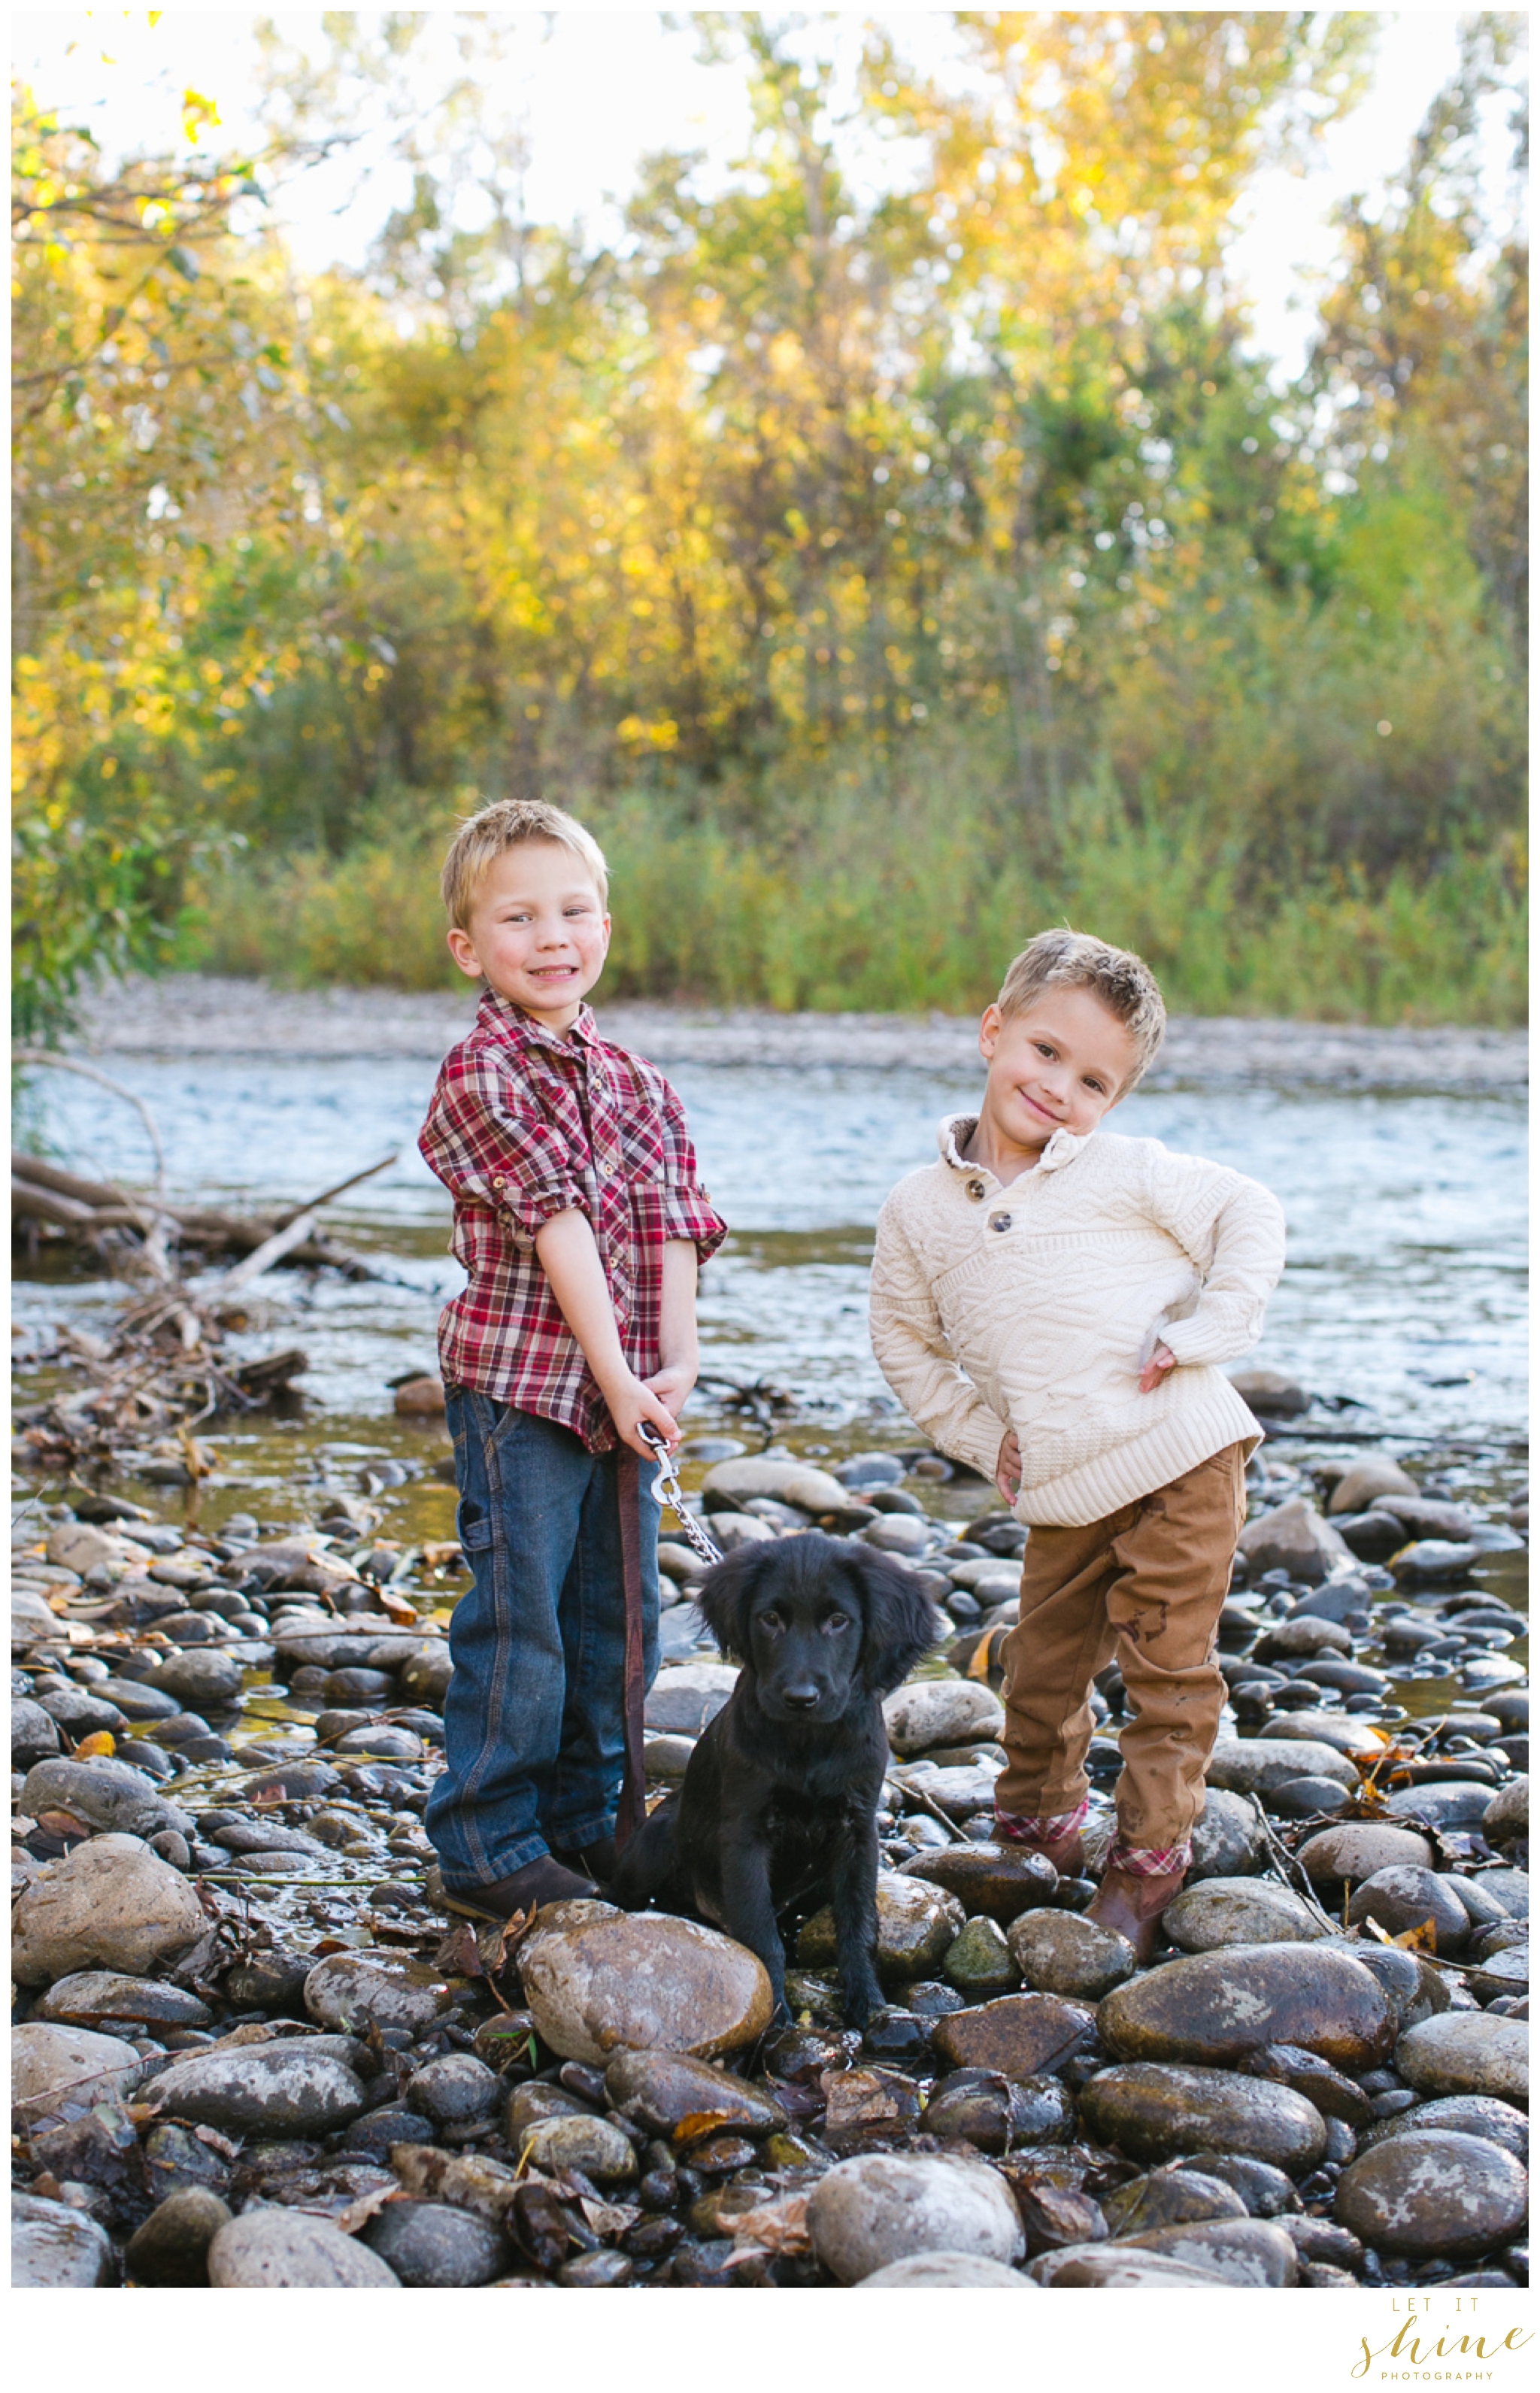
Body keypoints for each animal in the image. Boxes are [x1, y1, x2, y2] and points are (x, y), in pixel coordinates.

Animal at [607, 1531, 932, 2019]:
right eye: (771, 1619)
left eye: (838, 1620)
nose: (800, 1697)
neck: (807, 1743)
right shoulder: (745, 1832)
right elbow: (759, 1932)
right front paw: (774, 2014)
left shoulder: (857, 1830)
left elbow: (859, 1922)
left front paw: (869, 2002)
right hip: (654, 1842)